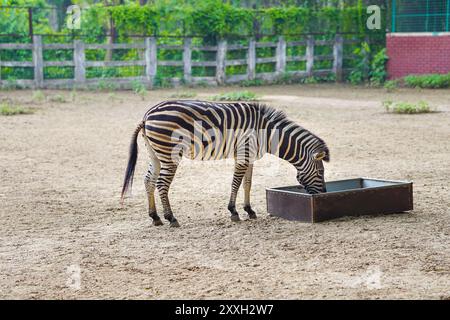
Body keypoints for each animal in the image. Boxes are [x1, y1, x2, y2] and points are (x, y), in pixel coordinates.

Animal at [121, 100, 328, 228]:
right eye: (320, 173)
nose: (323, 194)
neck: (267, 133)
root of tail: (147, 116)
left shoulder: (249, 155)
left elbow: (247, 184)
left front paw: (249, 210)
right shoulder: (244, 153)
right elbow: (235, 183)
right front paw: (234, 212)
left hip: (155, 153)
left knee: (148, 180)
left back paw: (155, 217)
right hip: (169, 153)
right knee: (162, 184)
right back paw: (171, 218)